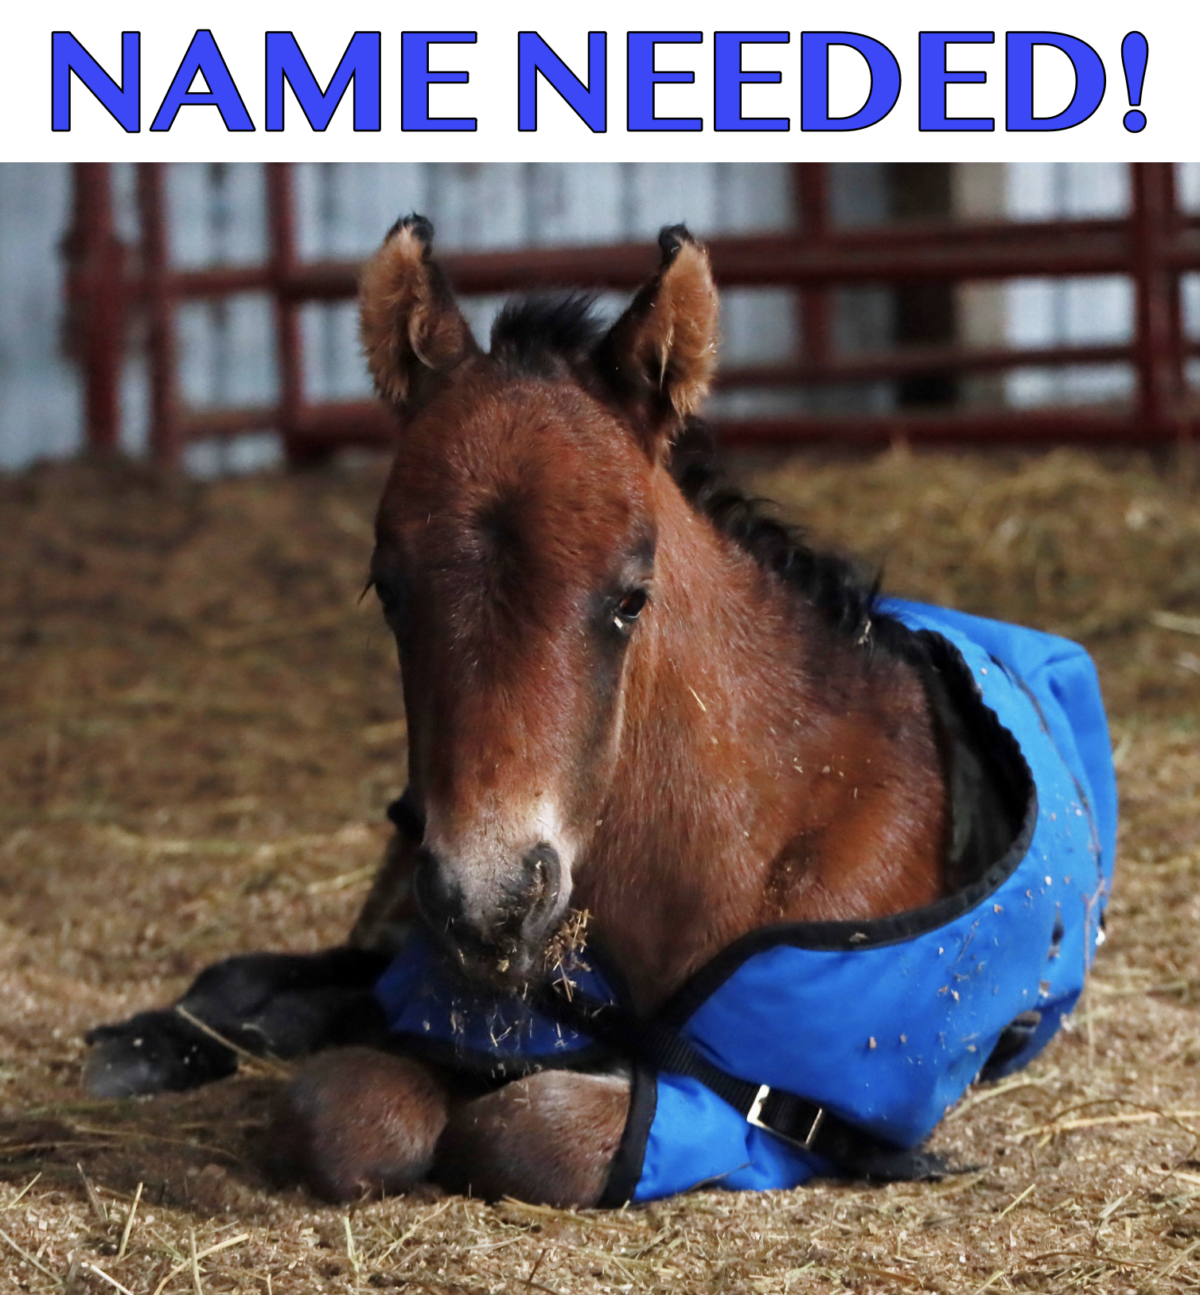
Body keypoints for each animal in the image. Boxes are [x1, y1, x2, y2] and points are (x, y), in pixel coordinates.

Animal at [84, 217, 1114, 1208]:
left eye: (630, 597)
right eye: (389, 590)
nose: (490, 904)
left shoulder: (774, 1114)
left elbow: (527, 1130)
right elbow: (340, 1114)